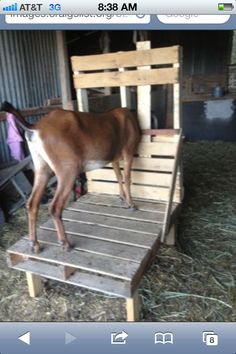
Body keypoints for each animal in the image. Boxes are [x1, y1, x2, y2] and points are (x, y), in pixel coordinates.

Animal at [1, 101, 140, 253]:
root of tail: (35, 127)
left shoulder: (114, 157)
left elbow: (118, 176)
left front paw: (122, 197)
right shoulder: (128, 151)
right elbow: (127, 178)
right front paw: (131, 204)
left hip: (41, 167)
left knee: (32, 204)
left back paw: (34, 244)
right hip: (68, 169)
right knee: (55, 207)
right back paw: (65, 243)